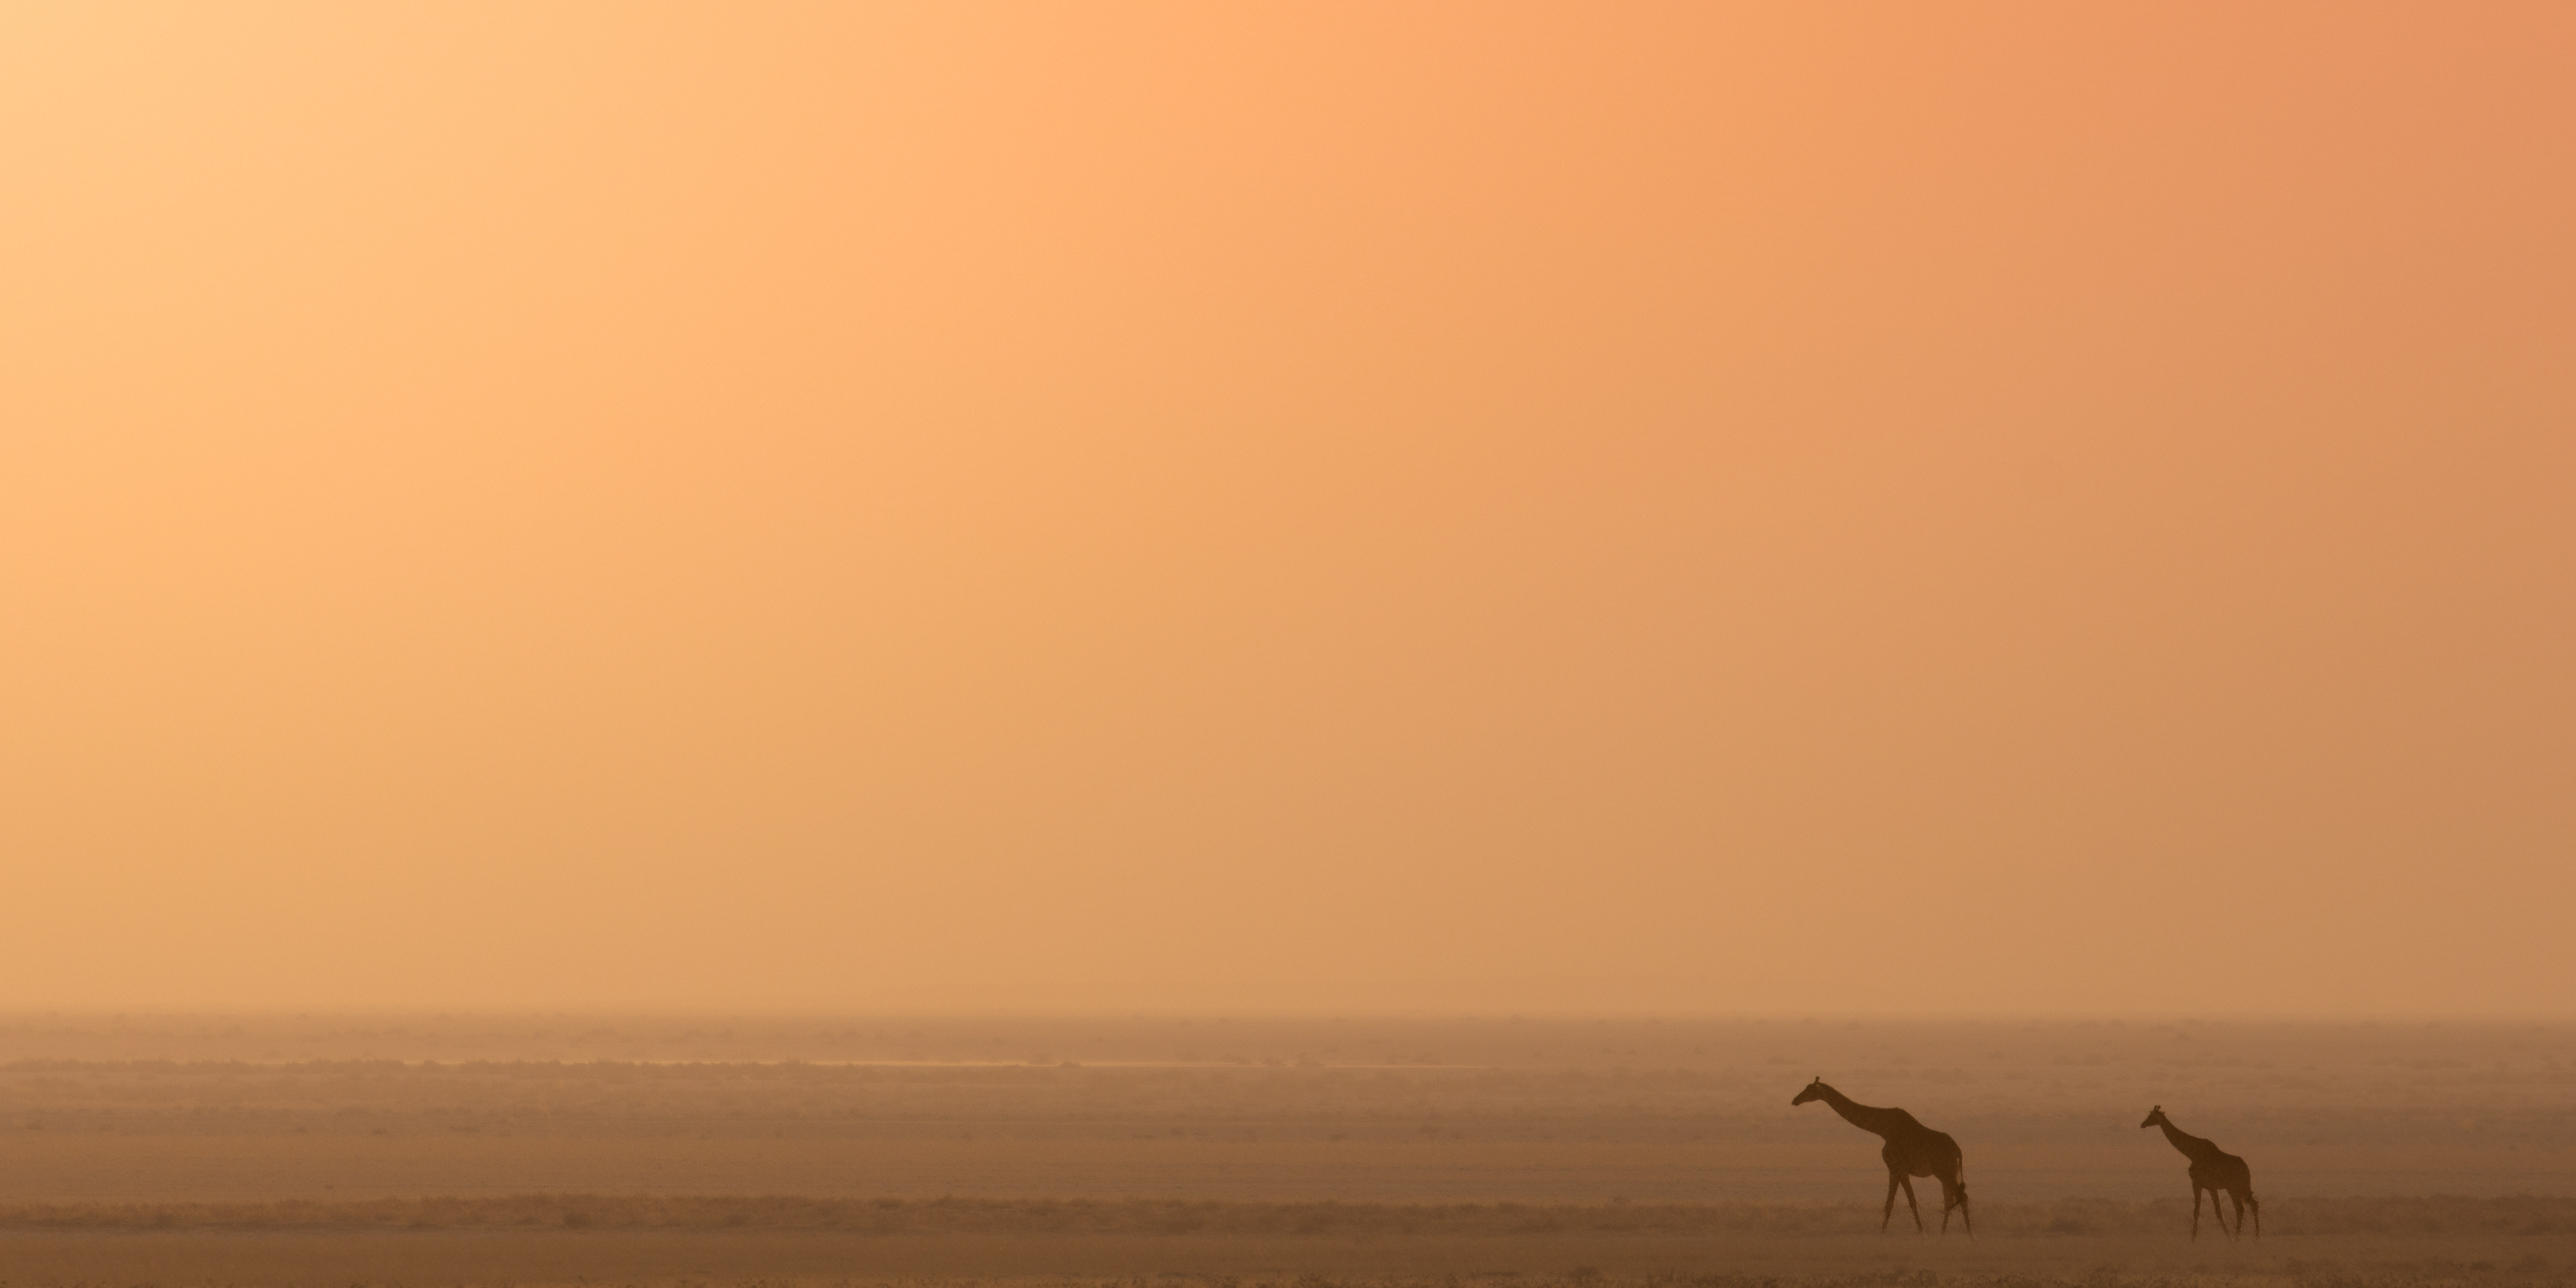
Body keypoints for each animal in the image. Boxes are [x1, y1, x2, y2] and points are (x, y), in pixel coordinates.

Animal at [1792, 1076, 1972, 1235]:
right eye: (1806, 1087)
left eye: (1810, 1089)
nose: (1795, 1100)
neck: (1883, 1129)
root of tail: (1959, 1152)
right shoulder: (1893, 1169)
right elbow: (1889, 1204)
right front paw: (1882, 1235)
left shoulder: (1900, 1168)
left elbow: (1912, 1201)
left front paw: (1923, 1234)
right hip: (1949, 1174)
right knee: (1951, 1199)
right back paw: (1943, 1234)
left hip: (1946, 1172)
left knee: (1961, 1197)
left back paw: (1971, 1236)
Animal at [2141, 1105, 2259, 1239]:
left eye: (2151, 1116)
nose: (2142, 1124)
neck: (2191, 1154)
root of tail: (2247, 1169)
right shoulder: (2211, 1187)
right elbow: (2218, 1213)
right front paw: (2228, 1238)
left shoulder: (2197, 1183)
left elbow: (2197, 1212)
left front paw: (2193, 1240)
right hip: (2242, 1186)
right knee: (2252, 1205)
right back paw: (2254, 1238)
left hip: (2234, 1187)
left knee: (2242, 1208)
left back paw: (2239, 1238)